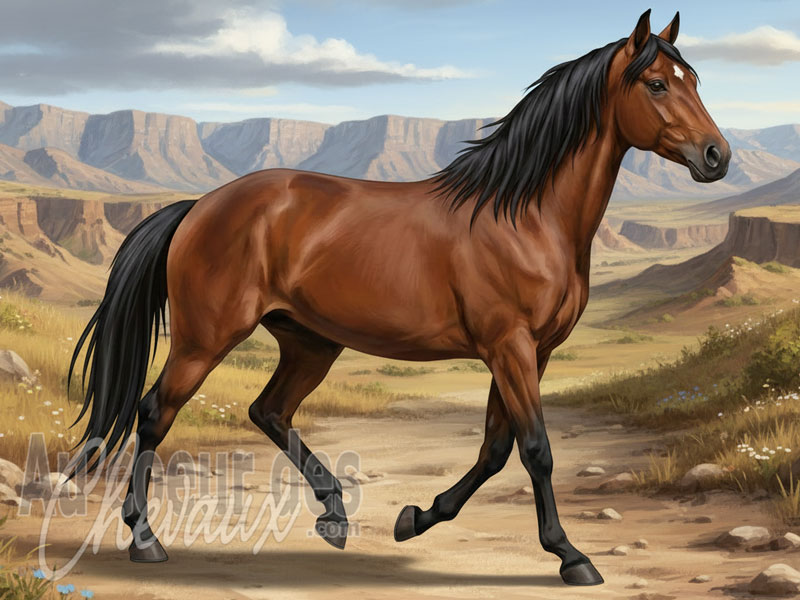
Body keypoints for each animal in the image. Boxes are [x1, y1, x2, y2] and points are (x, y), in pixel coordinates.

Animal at [68, 9, 730, 586]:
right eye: (656, 84)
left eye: (695, 80)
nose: (716, 156)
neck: (525, 215)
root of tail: (198, 207)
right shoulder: (509, 347)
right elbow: (536, 449)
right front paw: (571, 557)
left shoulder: (530, 352)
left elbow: (496, 447)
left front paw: (416, 518)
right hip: (206, 340)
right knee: (156, 413)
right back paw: (145, 539)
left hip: (310, 342)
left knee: (269, 411)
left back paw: (334, 512)